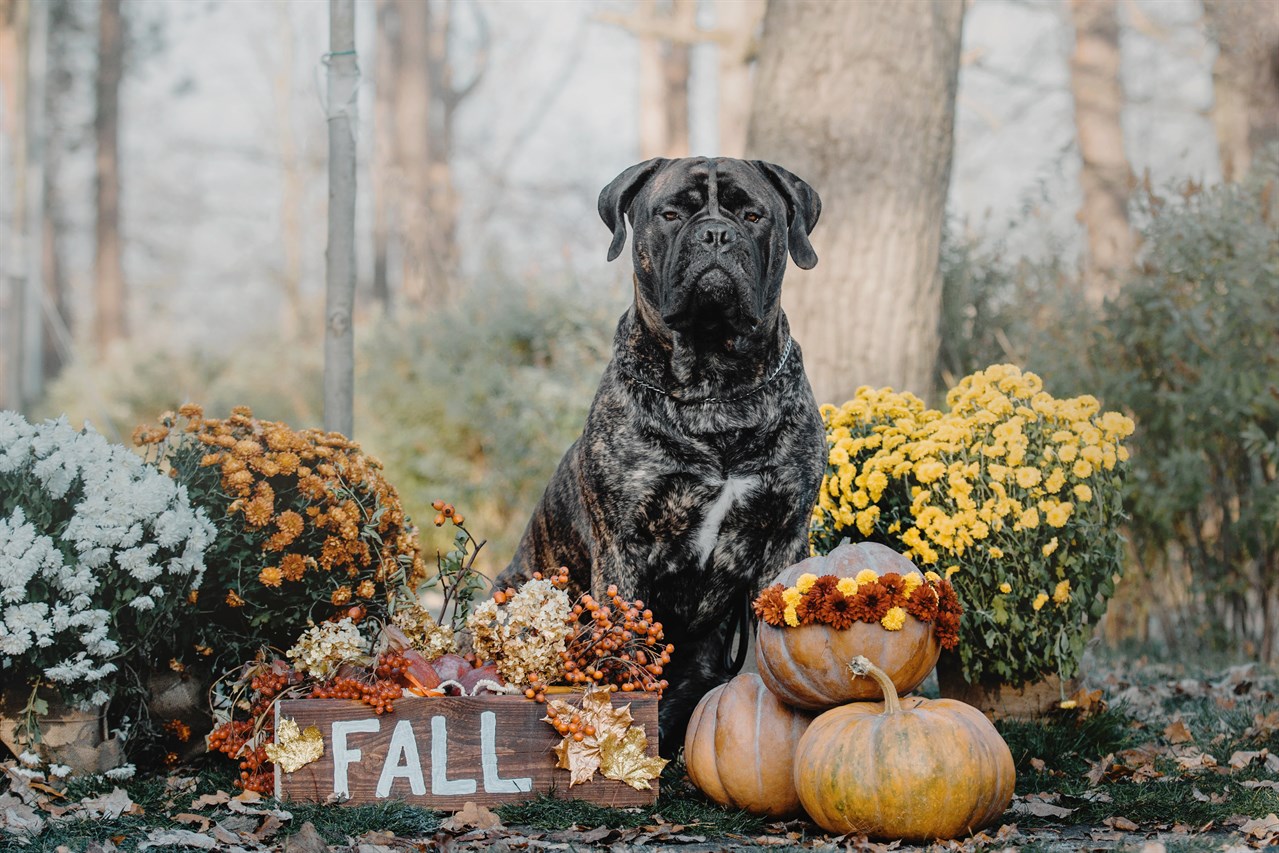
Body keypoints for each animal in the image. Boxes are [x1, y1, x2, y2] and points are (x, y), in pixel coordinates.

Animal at [493, 156, 823, 751]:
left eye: (752, 214)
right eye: (671, 214)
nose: (715, 234)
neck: (715, 390)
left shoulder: (785, 535)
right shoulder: (623, 543)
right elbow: (622, 645)